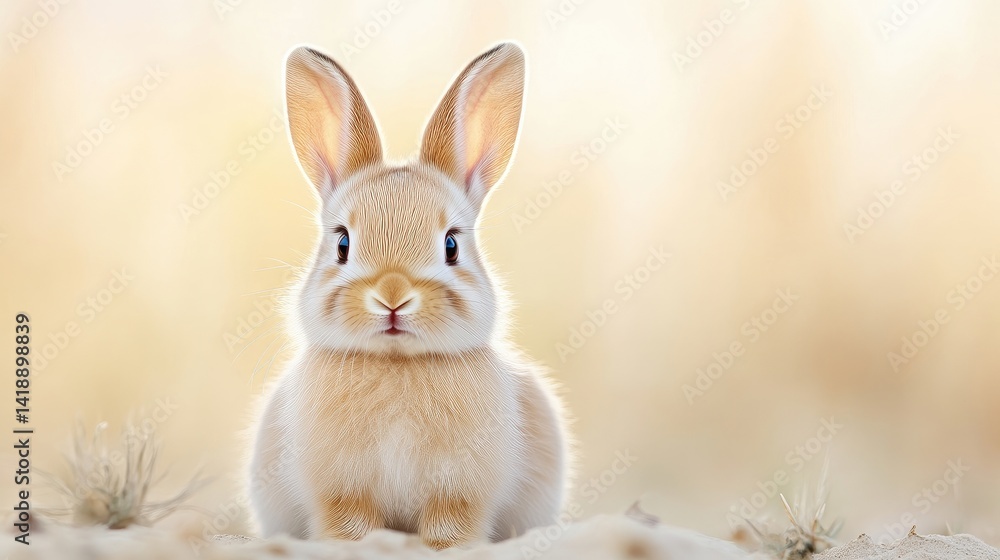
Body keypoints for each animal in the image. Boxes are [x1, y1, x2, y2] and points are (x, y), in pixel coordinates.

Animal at [247, 42, 570, 550]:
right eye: (342, 244)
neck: (398, 364)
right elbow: (349, 524)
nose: (393, 296)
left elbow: (450, 525)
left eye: (451, 245)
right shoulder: (342, 490)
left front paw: (446, 549)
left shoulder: (459, 490)